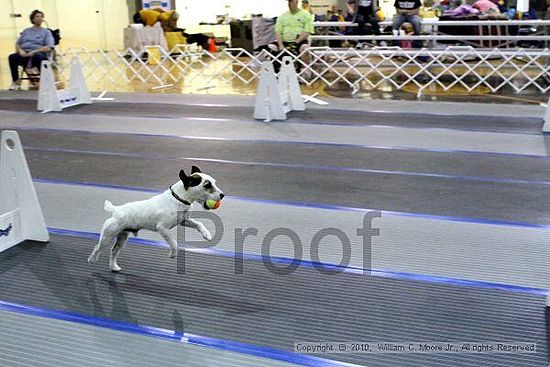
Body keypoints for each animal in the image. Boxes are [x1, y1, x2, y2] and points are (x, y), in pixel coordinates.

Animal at [87, 167, 225, 274]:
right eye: (207, 185)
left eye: (214, 182)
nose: (223, 195)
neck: (179, 199)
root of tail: (116, 210)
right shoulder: (162, 228)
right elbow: (174, 243)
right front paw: (173, 254)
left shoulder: (184, 221)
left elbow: (199, 224)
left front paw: (206, 234)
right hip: (108, 236)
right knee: (98, 247)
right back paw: (92, 259)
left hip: (122, 237)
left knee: (114, 251)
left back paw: (113, 267)